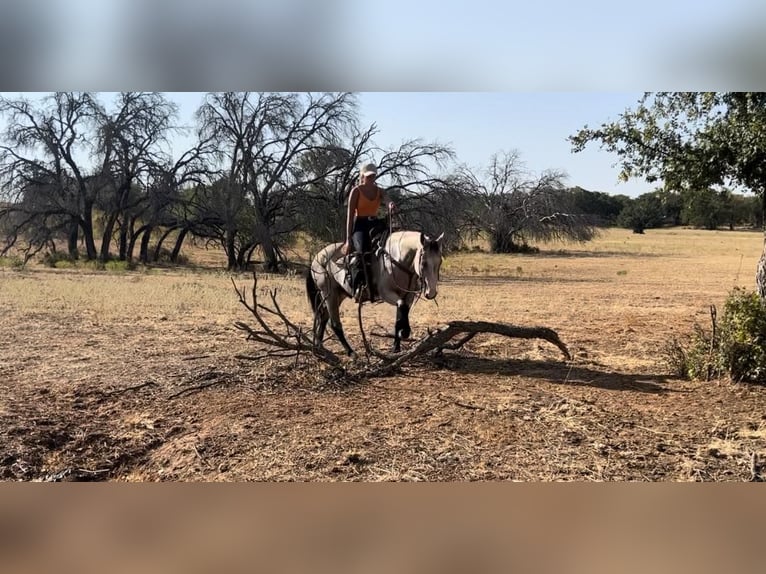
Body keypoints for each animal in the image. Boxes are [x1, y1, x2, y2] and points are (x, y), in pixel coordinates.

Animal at [308, 232, 444, 358]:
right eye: (424, 262)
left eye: (440, 261)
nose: (431, 292)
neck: (396, 261)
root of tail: (318, 256)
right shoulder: (387, 294)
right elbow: (402, 306)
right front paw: (405, 332)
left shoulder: (407, 296)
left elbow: (400, 314)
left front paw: (396, 347)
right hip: (330, 295)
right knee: (335, 324)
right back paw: (351, 352)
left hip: (338, 295)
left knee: (323, 317)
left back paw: (319, 346)